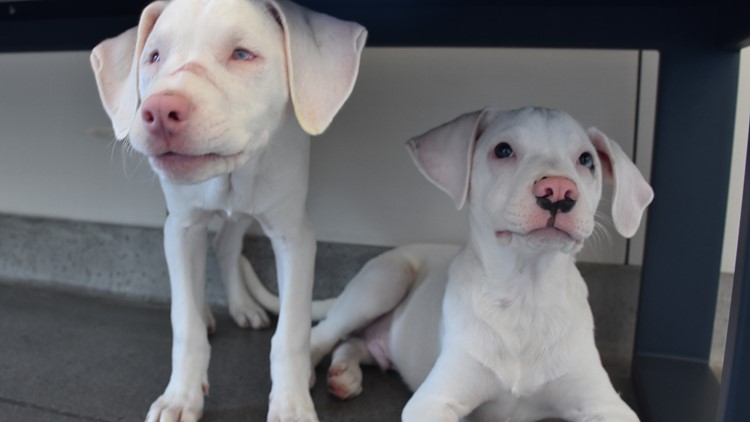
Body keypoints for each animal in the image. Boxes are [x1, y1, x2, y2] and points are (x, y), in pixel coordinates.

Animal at [91, 0, 368, 422]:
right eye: (154, 57)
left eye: (242, 54)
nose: (159, 111)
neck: (229, 175)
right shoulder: (181, 227)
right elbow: (184, 322)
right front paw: (180, 397)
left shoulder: (294, 235)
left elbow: (291, 332)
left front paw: (290, 404)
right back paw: (209, 313)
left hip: (250, 210)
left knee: (226, 242)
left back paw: (243, 307)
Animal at [308, 109, 656, 422]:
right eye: (503, 150)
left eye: (586, 160)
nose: (559, 191)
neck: (526, 295)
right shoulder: (433, 400)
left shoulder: (607, 405)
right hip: (384, 282)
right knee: (323, 334)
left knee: (354, 342)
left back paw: (345, 374)